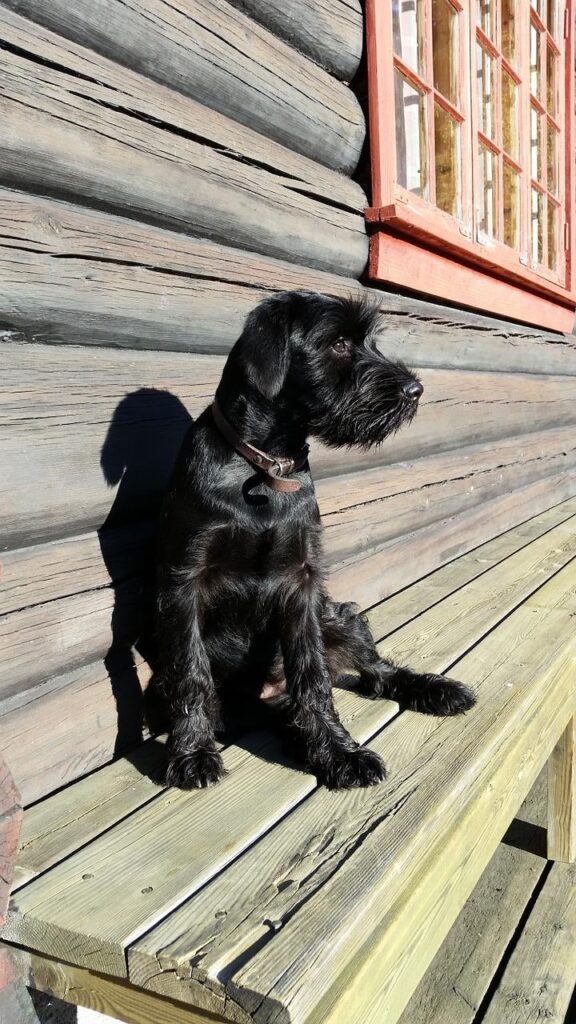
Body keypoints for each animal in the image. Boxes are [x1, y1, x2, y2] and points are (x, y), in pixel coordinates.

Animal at [152, 292, 475, 786]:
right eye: (339, 344)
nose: (414, 390)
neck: (264, 471)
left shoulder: (302, 583)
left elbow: (313, 674)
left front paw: (338, 752)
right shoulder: (184, 582)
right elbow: (191, 672)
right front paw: (191, 753)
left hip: (340, 615)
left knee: (377, 673)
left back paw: (434, 689)